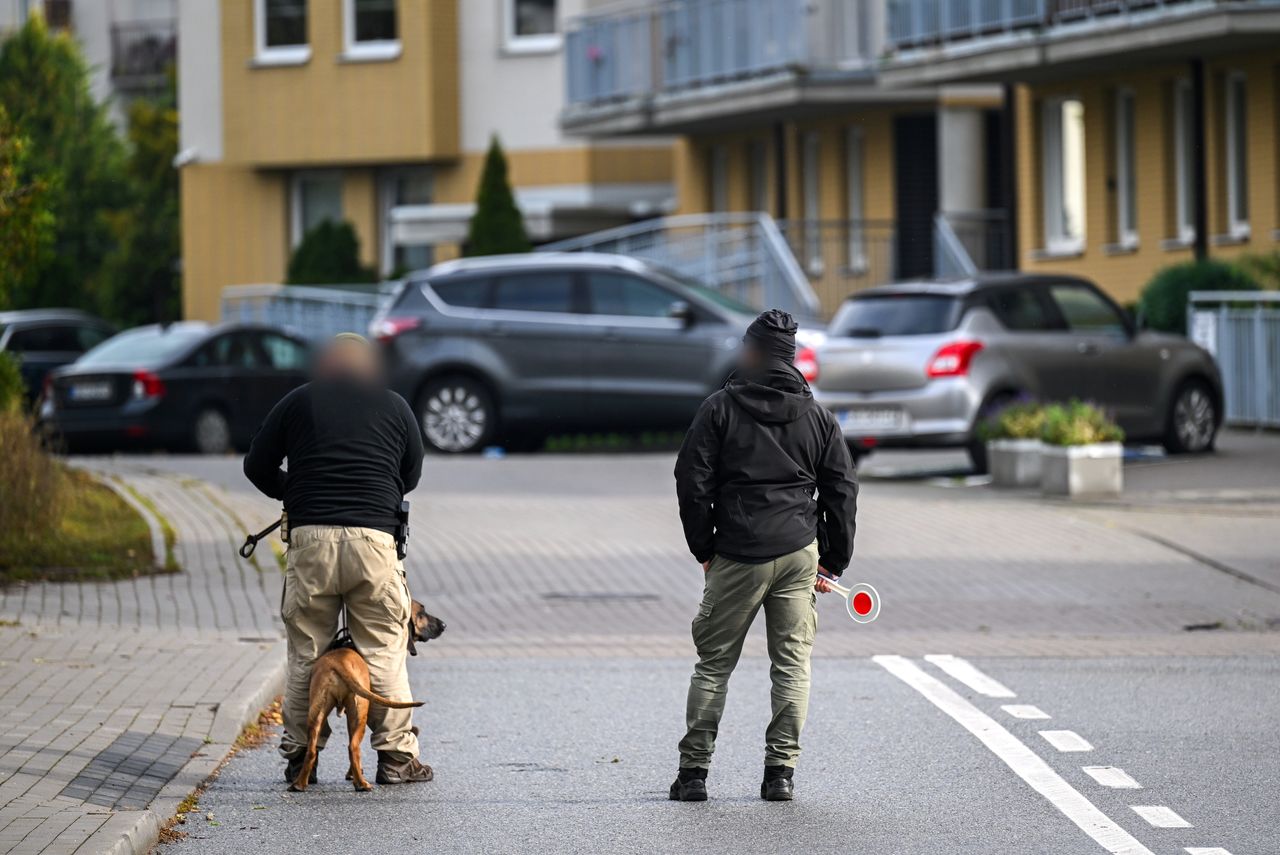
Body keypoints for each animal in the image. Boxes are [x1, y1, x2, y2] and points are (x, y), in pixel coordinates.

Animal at [289, 601, 445, 788]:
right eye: (422, 613)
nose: (444, 625)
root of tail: (339, 662)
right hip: (360, 712)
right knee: (353, 747)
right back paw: (362, 784)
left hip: (318, 711)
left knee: (312, 749)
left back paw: (299, 783)